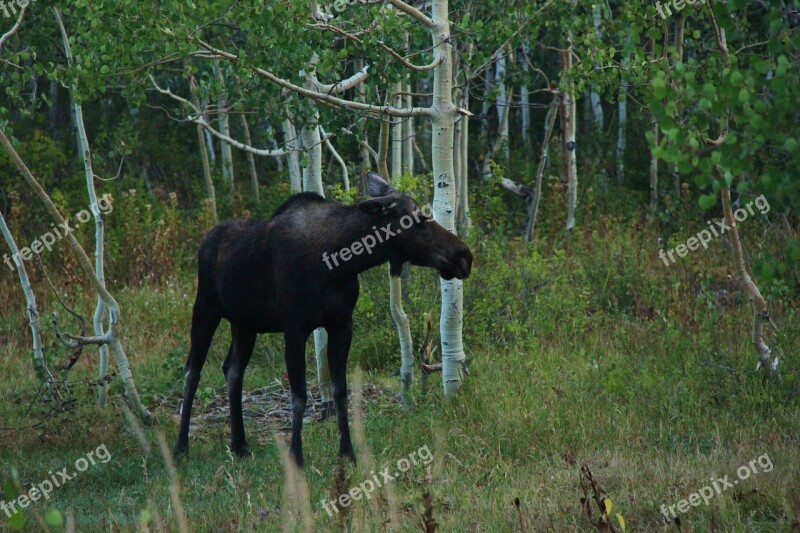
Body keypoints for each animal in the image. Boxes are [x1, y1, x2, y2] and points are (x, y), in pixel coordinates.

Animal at [177, 171, 468, 466]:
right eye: (416, 220)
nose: (464, 256)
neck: (340, 264)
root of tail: (205, 240)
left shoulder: (341, 324)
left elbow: (339, 392)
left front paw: (347, 452)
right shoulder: (295, 328)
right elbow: (299, 396)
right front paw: (296, 456)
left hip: (244, 323)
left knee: (233, 369)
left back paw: (239, 444)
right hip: (205, 307)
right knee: (192, 370)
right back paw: (181, 447)